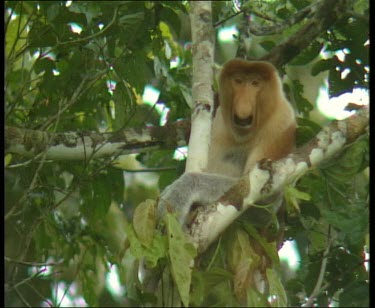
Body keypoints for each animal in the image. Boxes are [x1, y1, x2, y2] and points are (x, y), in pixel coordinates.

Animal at [158, 59, 296, 227]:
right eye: (238, 81)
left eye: (255, 83)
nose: (243, 103)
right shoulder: (218, 120)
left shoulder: (281, 125)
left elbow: (265, 205)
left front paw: (177, 193)